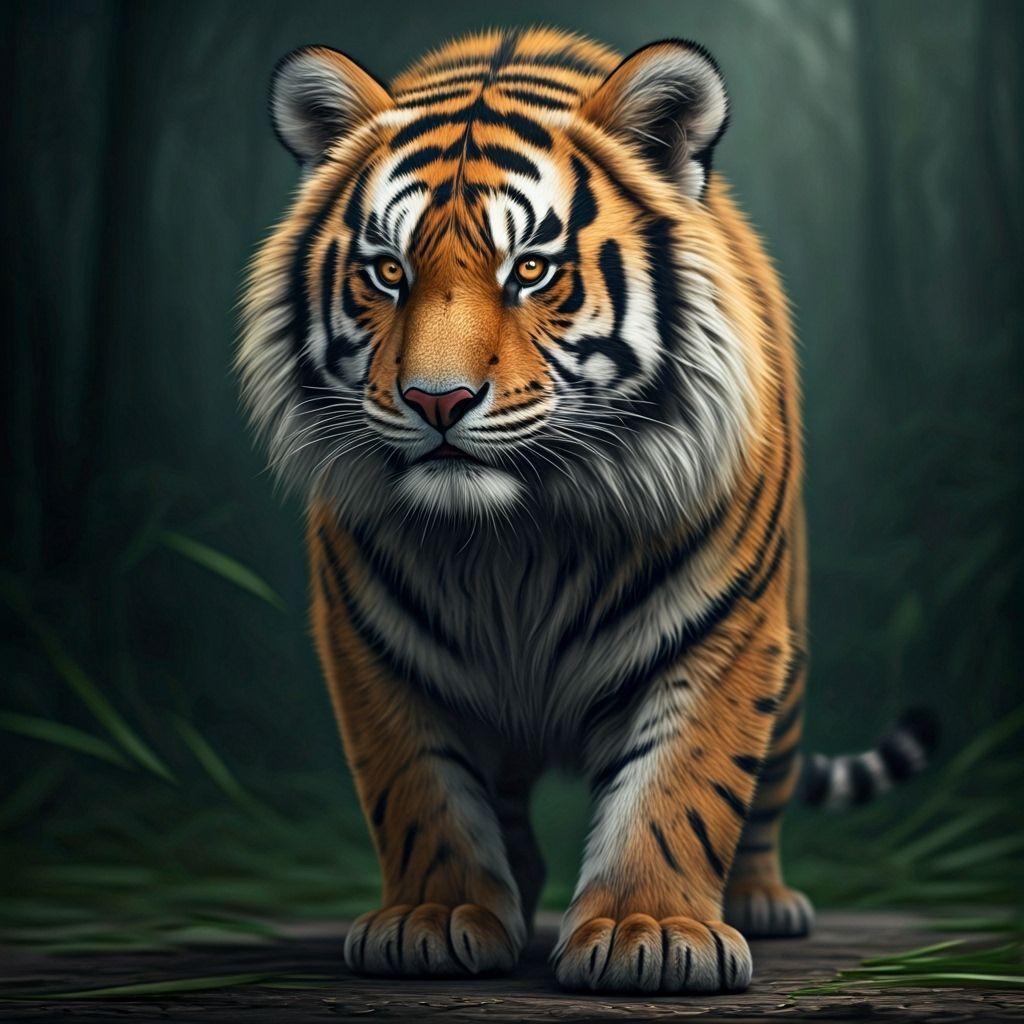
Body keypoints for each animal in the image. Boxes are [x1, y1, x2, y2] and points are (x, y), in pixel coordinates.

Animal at [237, 27, 935, 994]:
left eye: (530, 270)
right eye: (388, 272)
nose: (437, 401)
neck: (513, 539)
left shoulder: (723, 635)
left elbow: (681, 790)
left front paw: (652, 932)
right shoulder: (371, 645)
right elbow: (418, 792)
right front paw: (435, 917)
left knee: (767, 791)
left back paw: (764, 900)